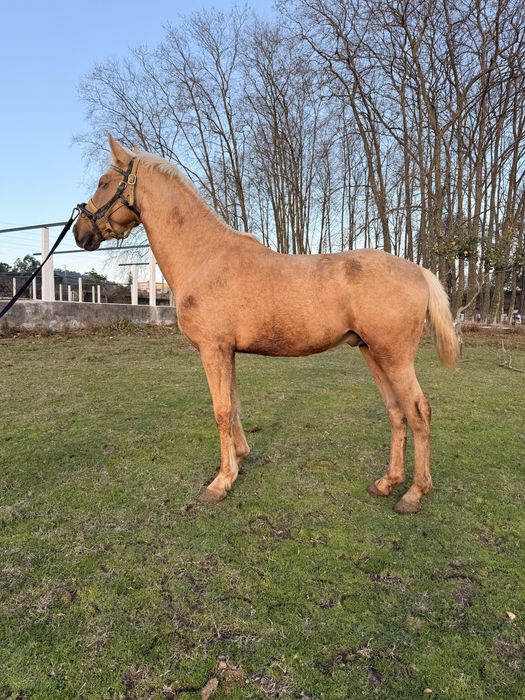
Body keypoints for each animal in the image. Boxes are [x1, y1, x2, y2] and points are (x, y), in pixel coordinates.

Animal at [73, 135, 458, 514]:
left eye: (104, 182)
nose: (80, 232)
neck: (205, 258)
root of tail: (419, 271)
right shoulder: (227, 352)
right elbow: (234, 405)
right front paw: (240, 459)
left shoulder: (213, 350)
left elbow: (221, 410)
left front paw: (221, 482)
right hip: (371, 352)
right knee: (396, 412)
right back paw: (387, 483)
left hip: (394, 356)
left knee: (419, 412)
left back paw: (414, 494)